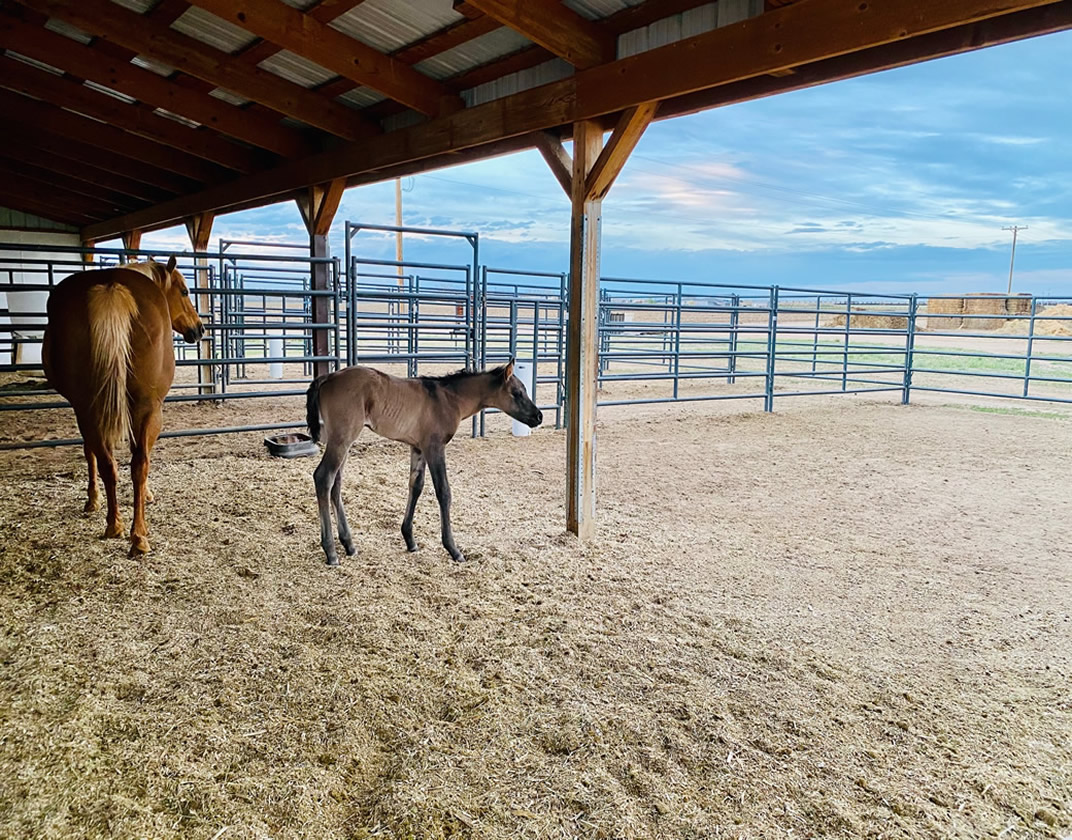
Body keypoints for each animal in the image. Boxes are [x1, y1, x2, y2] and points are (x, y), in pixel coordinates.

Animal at [42, 259, 202, 552]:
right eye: (184, 291)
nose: (199, 328)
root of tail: (111, 286)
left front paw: (93, 500)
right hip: (145, 409)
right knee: (132, 463)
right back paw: (133, 533)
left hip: (95, 409)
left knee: (117, 462)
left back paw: (121, 528)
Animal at [308, 360, 544, 565]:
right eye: (517, 393)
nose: (538, 416)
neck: (447, 398)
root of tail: (329, 377)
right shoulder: (435, 447)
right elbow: (444, 492)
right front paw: (453, 549)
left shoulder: (418, 448)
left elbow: (416, 486)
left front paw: (410, 540)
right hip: (342, 439)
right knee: (323, 477)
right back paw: (330, 551)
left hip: (342, 442)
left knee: (336, 484)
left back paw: (349, 544)